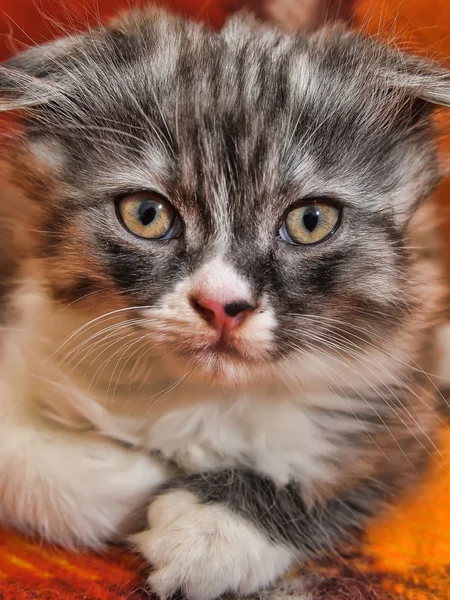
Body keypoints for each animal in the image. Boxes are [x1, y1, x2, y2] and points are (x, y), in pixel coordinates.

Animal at [0, 5, 450, 600]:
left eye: (311, 221)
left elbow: (346, 474)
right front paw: (126, 478)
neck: (199, 396)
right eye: (146, 215)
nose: (222, 305)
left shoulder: (403, 410)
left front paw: (211, 532)